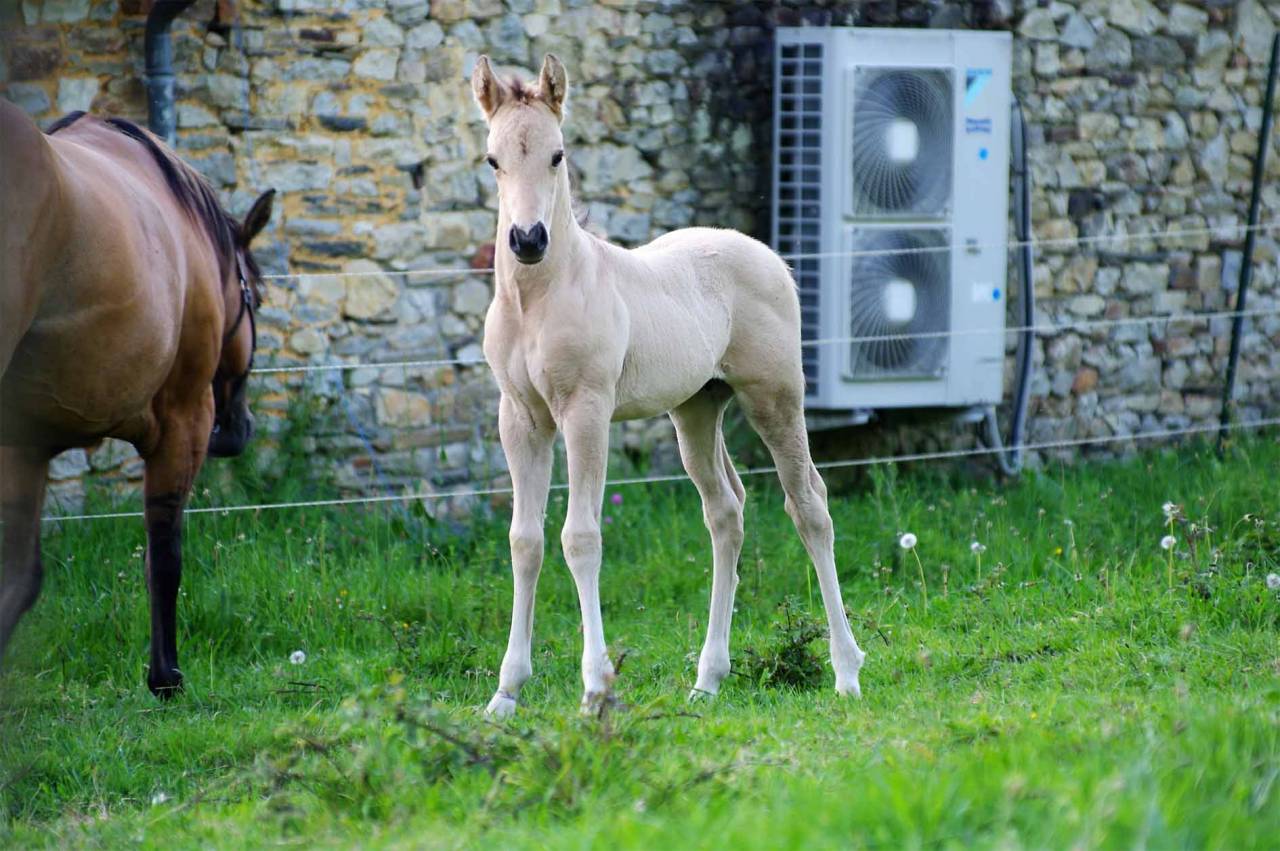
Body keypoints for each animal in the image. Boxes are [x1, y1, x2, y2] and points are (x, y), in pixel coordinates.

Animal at [0, 101, 274, 697]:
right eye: (258, 299)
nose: (236, 430)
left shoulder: (23, 446)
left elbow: (21, 576)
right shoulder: (183, 422)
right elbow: (164, 554)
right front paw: (165, 675)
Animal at [470, 54, 867, 716]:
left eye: (557, 155)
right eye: (493, 159)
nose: (527, 240)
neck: (539, 299)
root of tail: (770, 257)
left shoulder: (586, 411)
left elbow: (580, 537)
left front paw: (596, 688)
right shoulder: (520, 418)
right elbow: (525, 541)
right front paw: (506, 692)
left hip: (775, 396)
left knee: (809, 505)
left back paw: (846, 671)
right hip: (696, 410)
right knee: (726, 512)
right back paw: (708, 678)